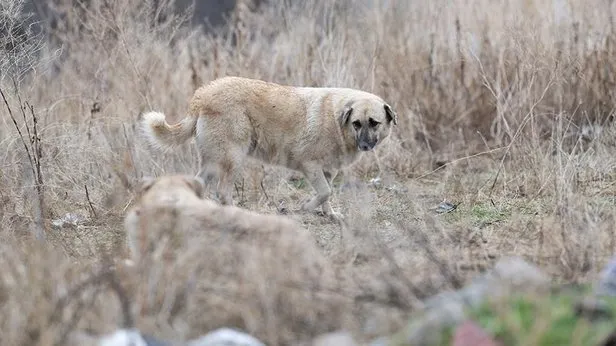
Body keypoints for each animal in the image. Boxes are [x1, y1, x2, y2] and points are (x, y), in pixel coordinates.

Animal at [138, 75, 400, 222]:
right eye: (357, 123)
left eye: (374, 123)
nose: (365, 145)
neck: (337, 119)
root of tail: (202, 95)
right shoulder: (311, 166)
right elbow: (325, 192)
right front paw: (307, 208)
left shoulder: (327, 171)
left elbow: (327, 195)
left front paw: (330, 215)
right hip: (234, 158)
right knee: (223, 191)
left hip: (213, 162)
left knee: (201, 184)